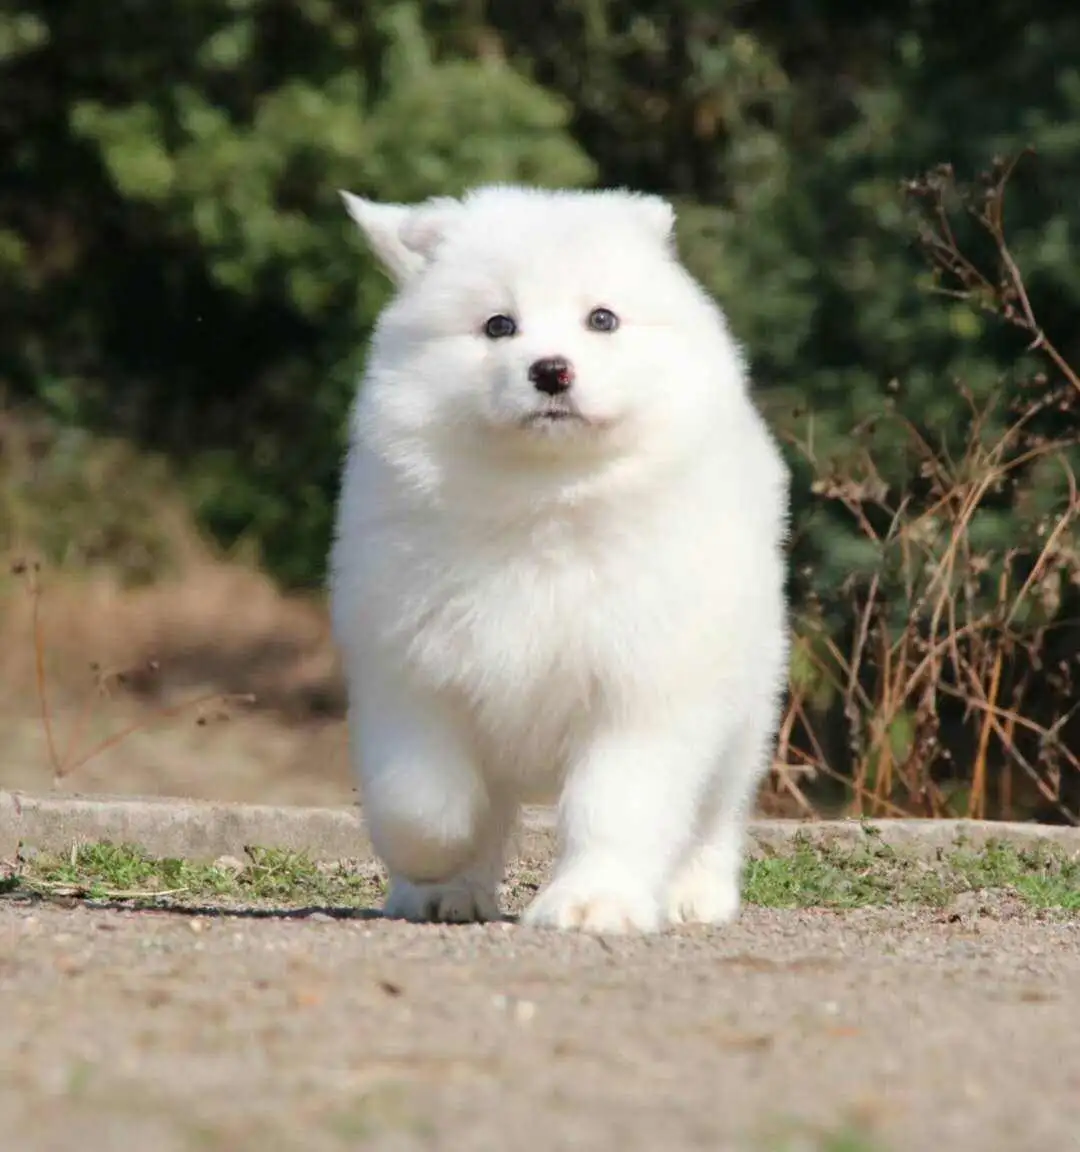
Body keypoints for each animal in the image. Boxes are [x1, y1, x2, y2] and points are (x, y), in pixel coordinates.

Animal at [324, 184, 787, 930]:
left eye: (602, 319)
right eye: (498, 326)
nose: (551, 371)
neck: (544, 500)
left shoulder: (643, 684)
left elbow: (615, 805)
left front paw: (591, 904)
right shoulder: (411, 669)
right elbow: (421, 799)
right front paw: (437, 864)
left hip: (744, 702)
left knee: (717, 811)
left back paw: (695, 895)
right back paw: (445, 894)